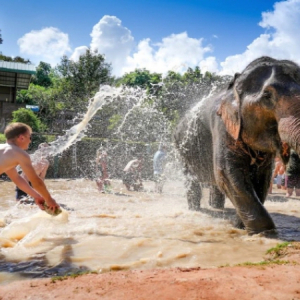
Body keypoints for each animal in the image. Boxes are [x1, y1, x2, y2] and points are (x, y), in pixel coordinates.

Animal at [173, 55, 300, 234]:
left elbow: (262, 177)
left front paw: (239, 225)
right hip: (181, 148)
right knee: (192, 179)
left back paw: (218, 208)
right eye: (267, 96)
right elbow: (227, 172)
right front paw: (262, 232)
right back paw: (195, 209)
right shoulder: (222, 124)